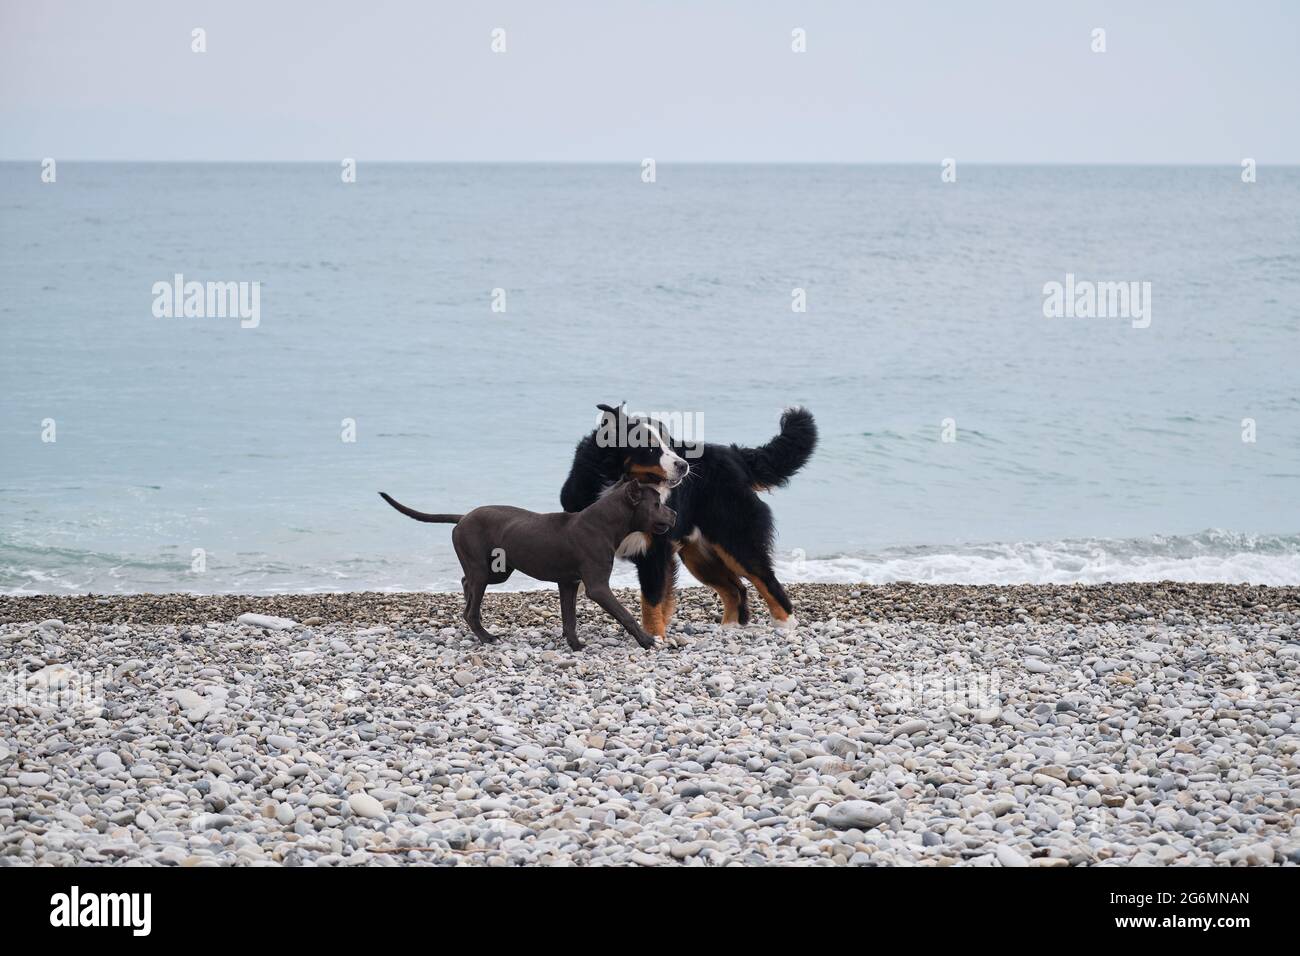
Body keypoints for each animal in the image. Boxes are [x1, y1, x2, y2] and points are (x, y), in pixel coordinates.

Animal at [377, 486, 676, 650]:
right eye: (657, 504)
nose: (674, 513)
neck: (603, 523)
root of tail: (463, 517)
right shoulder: (598, 587)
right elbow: (625, 614)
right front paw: (647, 641)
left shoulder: (569, 584)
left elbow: (569, 618)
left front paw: (575, 645)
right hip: (484, 572)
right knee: (471, 608)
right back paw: (486, 637)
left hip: (497, 571)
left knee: (465, 584)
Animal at [556, 403, 811, 634]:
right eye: (650, 449)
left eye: (670, 445)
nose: (684, 465)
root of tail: (734, 455)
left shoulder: (654, 551)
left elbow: (652, 599)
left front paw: (654, 636)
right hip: (699, 556)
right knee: (735, 588)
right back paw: (728, 627)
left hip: (736, 540)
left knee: (765, 579)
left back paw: (785, 624)